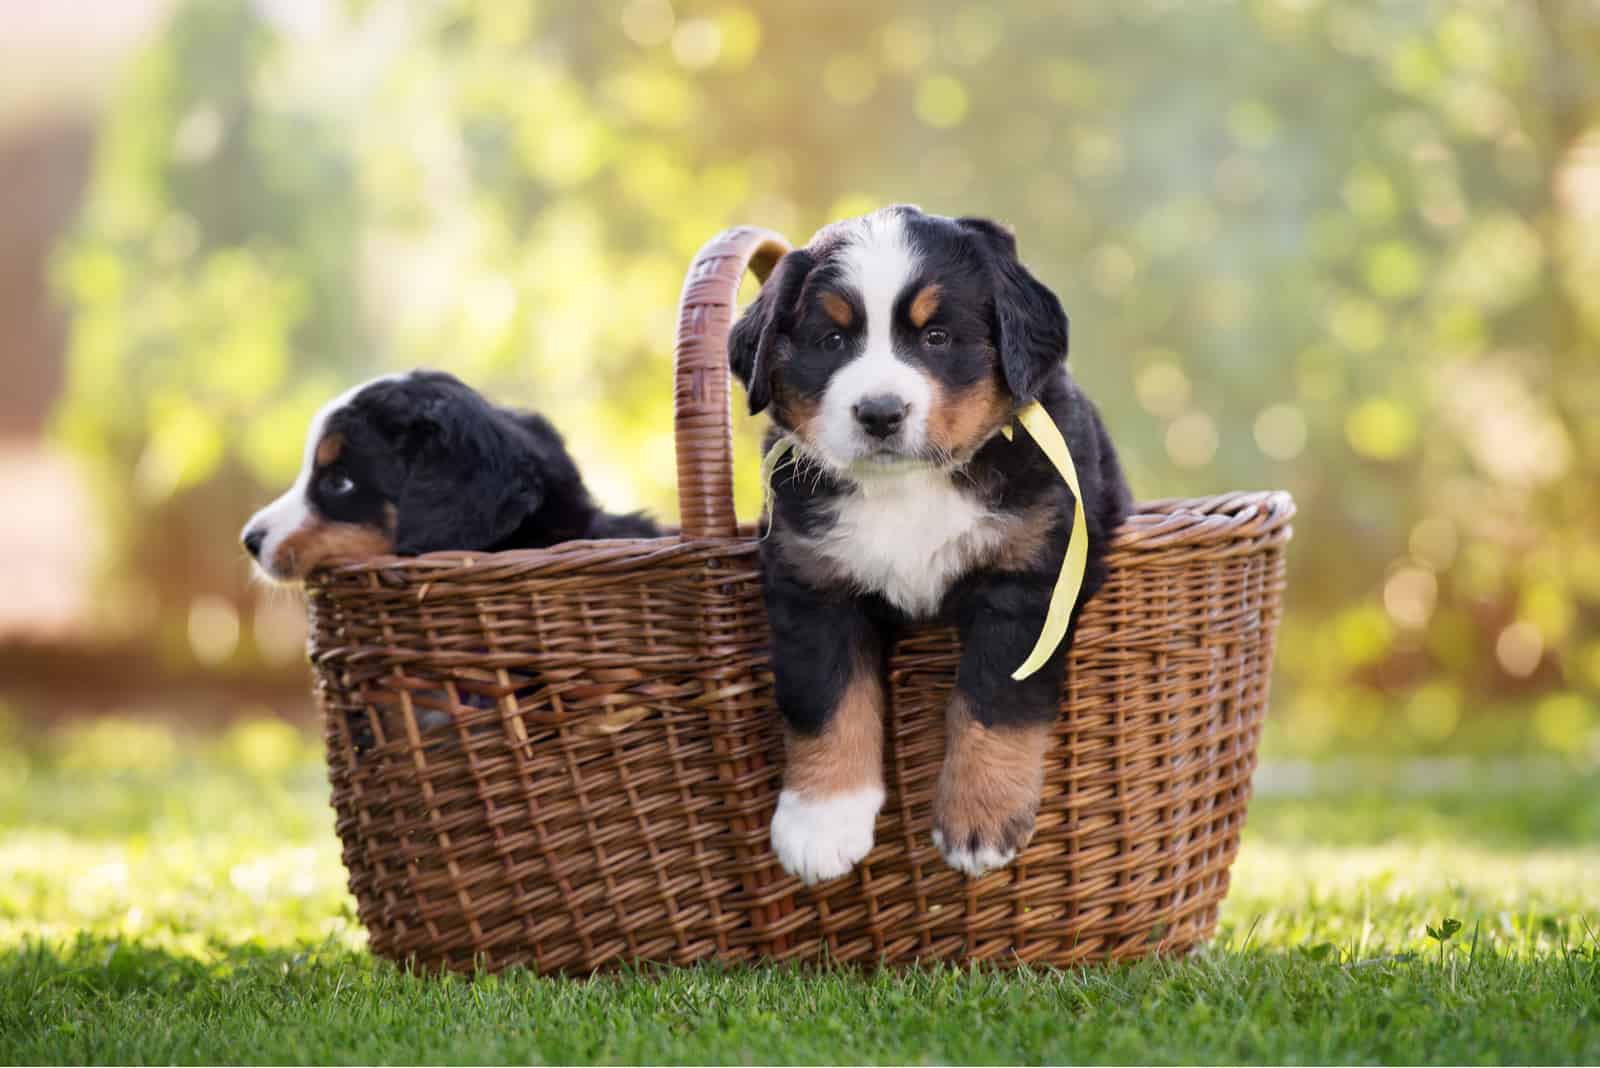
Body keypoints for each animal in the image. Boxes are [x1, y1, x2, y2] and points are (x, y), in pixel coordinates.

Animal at [732, 204, 1132, 882]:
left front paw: (981, 820)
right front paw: (820, 822)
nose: (879, 412)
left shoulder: (1031, 577)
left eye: (937, 338)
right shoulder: (814, 581)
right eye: (832, 341)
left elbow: (994, 699)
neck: (907, 490)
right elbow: (827, 697)